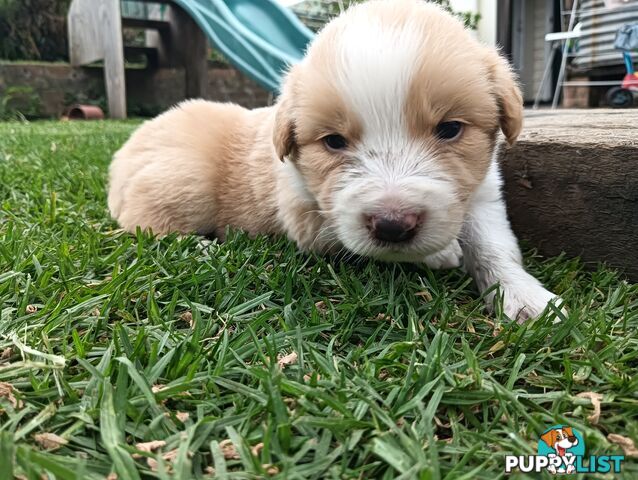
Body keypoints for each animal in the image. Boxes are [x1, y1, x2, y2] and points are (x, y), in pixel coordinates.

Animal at [110, 1, 564, 322]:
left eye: (450, 129)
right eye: (333, 141)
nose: (394, 224)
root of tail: (123, 151)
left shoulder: (483, 195)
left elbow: (494, 247)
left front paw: (529, 299)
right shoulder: (308, 215)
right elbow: (364, 241)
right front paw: (442, 254)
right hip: (185, 181)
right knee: (144, 223)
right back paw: (202, 247)